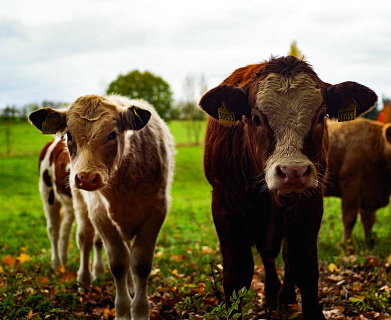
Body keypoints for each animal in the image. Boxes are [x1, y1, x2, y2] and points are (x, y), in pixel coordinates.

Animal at [31, 95, 175, 320]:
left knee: (69, 231)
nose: (85, 178)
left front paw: (139, 309)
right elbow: (118, 262)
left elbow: (140, 262)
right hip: (53, 196)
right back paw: (70, 271)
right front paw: (123, 311)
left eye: (112, 134)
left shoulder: (157, 210)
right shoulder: (99, 213)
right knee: (70, 234)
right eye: (69, 135)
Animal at [199, 55, 376, 320]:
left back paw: (285, 296)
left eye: (321, 116)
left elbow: (304, 268)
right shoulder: (224, 207)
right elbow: (237, 276)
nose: (294, 172)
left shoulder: (311, 206)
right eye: (256, 118)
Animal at [326, 119, 391, 249]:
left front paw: (369, 245)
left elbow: (368, 221)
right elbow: (349, 219)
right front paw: (346, 246)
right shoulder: (351, 188)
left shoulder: (369, 193)